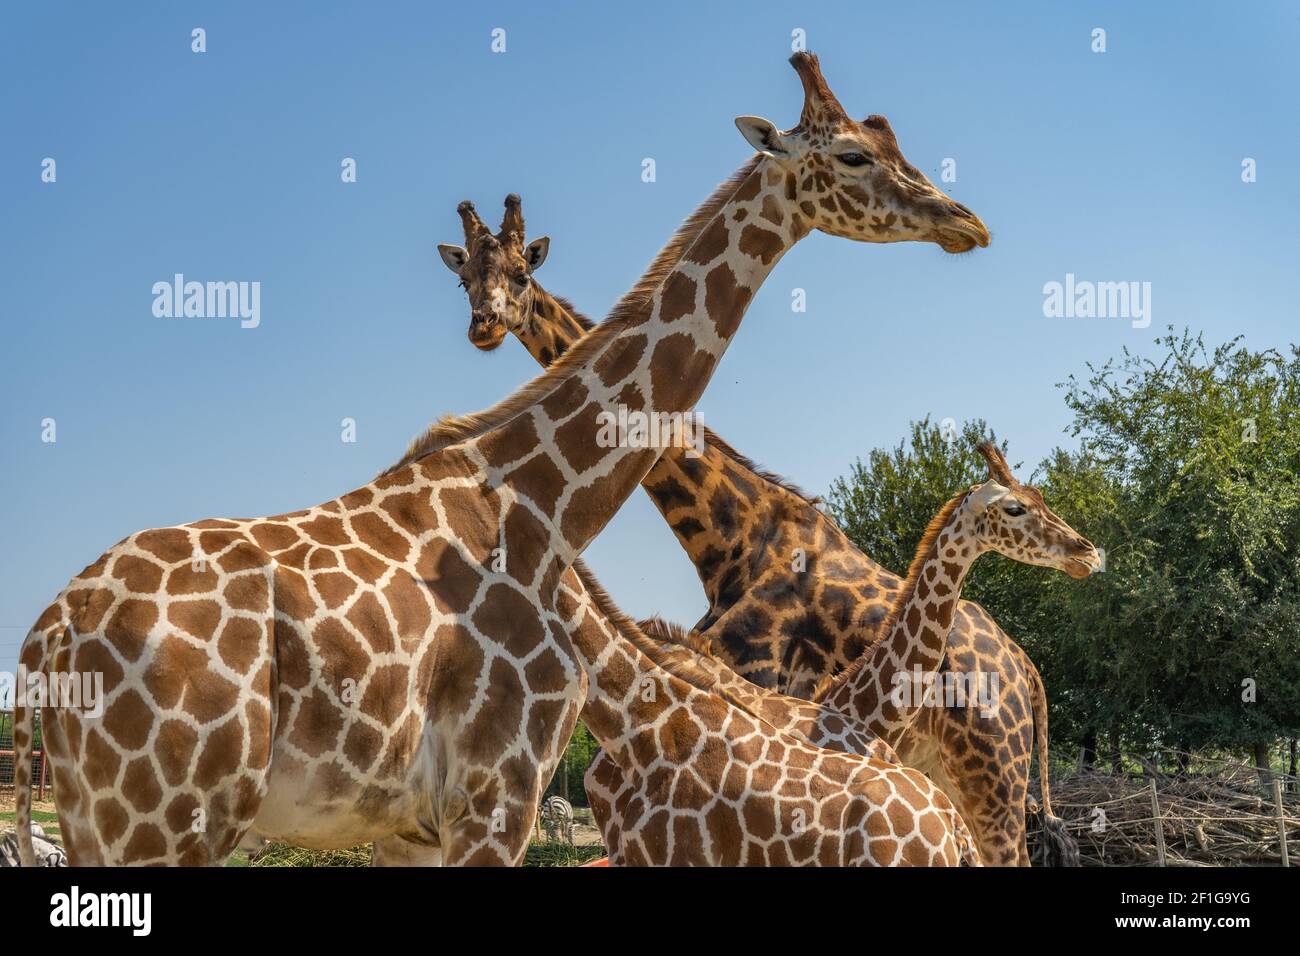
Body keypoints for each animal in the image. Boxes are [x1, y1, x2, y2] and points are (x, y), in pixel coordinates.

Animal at [10, 52, 987, 868]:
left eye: (890, 141)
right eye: (854, 155)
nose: (965, 221)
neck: (542, 501)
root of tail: (48, 634)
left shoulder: (410, 824)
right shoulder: (498, 793)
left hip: (104, 818)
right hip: (162, 819)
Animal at [439, 204, 1086, 868]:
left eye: (521, 274)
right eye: (464, 280)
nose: (484, 325)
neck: (731, 537)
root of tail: (1025, 667)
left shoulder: (757, 677)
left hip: (994, 776)